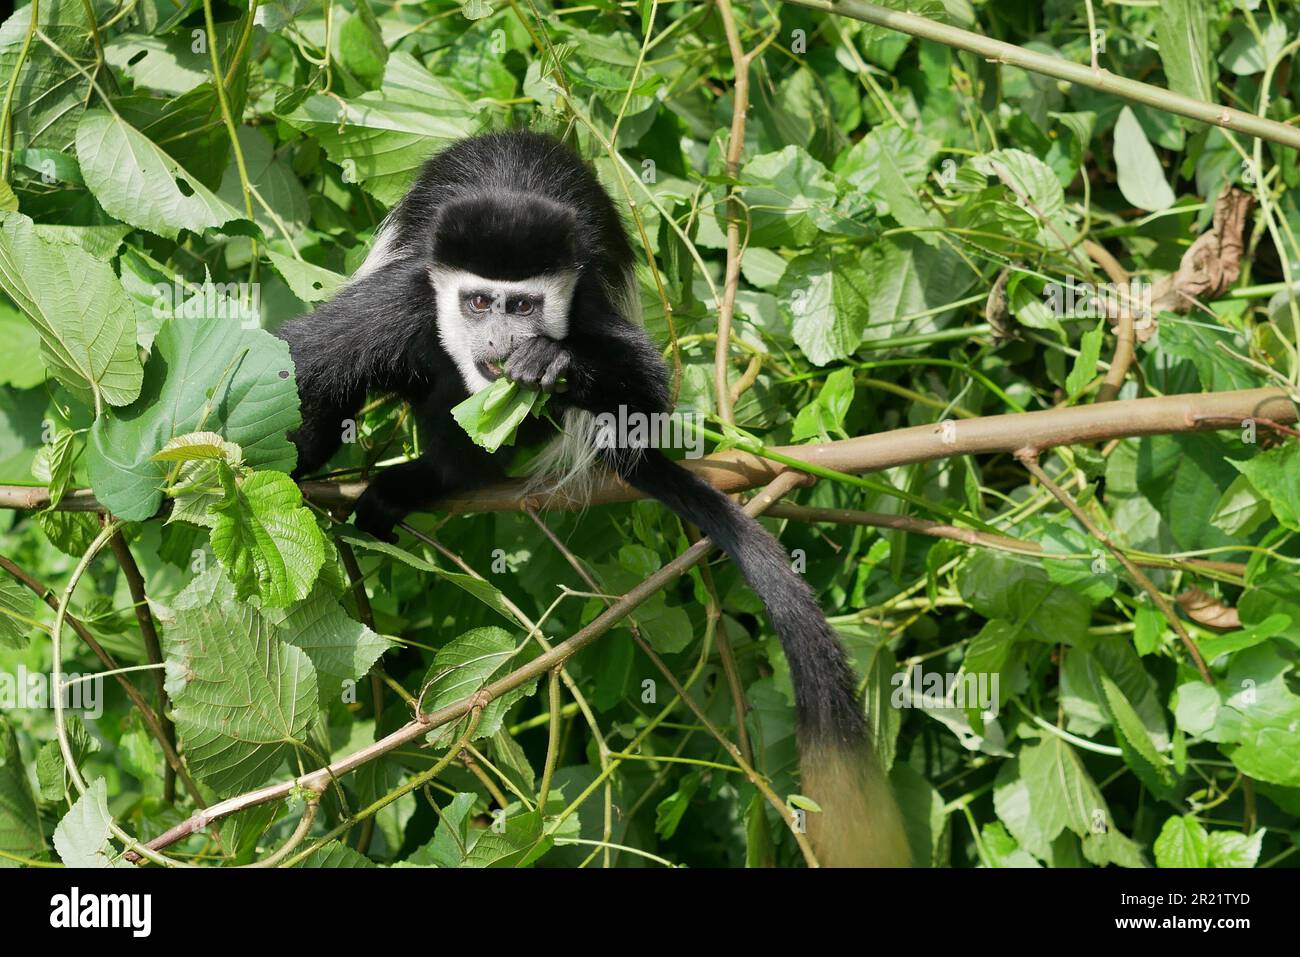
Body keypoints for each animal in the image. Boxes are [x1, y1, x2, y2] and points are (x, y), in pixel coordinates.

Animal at [276, 130, 910, 867]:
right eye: (478, 303)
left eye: (523, 307)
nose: (500, 344)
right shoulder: (401, 302)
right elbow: (299, 369)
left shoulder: (584, 309)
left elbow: (646, 402)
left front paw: (552, 365)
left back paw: (418, 481)